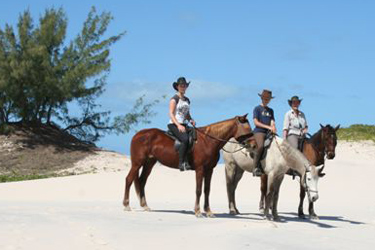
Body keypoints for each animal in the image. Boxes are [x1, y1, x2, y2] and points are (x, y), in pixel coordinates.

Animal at [123, 114, 253, 217]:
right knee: (129, 179)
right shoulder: (200, 169)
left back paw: (145, 206)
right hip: (137, 163)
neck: (208, 141)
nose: (253, 144)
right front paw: (198, 211)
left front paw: (208, 211)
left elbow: (207, 190)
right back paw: (126, 205)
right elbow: (198, 190)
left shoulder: (209, 170)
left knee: (142, 181)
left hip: (149, 162)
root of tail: (138, 135)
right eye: (248, 129)